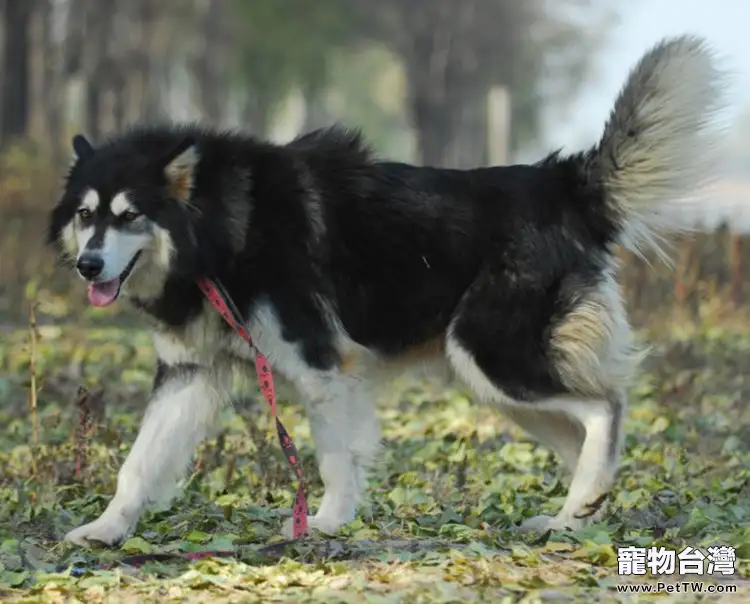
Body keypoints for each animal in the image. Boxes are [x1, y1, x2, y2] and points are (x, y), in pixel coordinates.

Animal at [48, 37, 728, 548]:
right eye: (86, 215)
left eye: (130, 216)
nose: (87, 265)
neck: (221, 228)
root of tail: (557, 182)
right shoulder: (190, 373)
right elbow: (138, 463)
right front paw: (105, 528)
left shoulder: (323, 367)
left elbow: (334, 456)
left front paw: (324, 523)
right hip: (498, 383)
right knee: (583, 434)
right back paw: (575, 517)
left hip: (491, 356)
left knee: (606, 406)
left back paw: (581, 503)